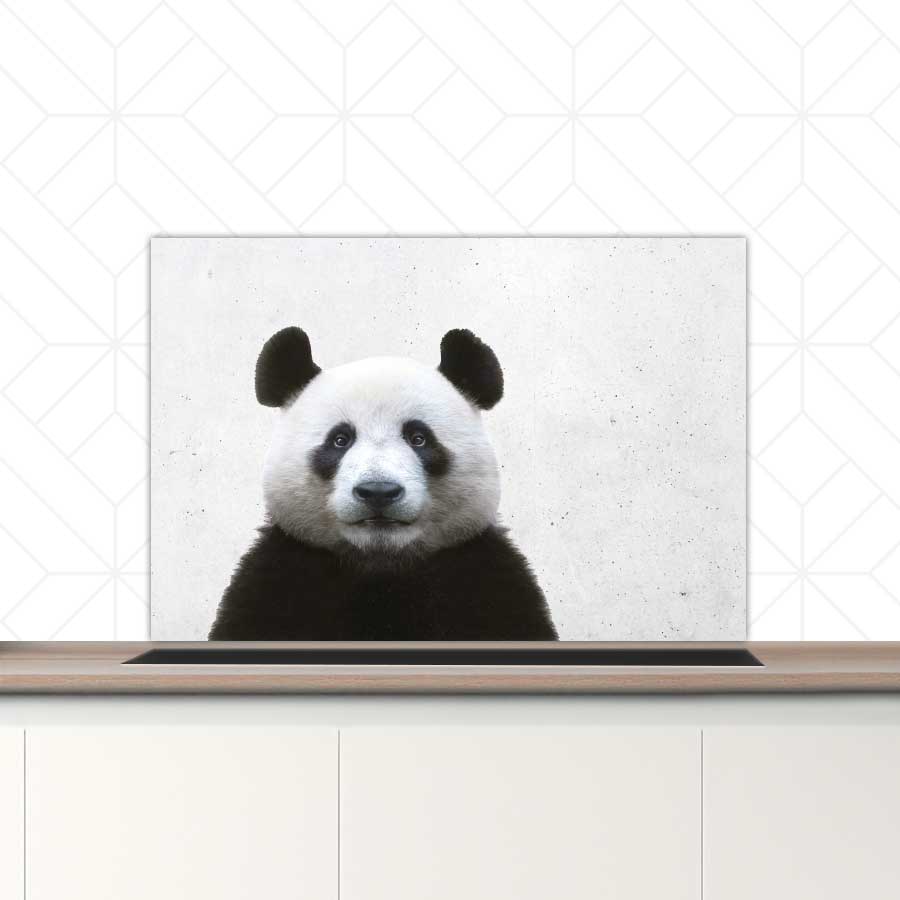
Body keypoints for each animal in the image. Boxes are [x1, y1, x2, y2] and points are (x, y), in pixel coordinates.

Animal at [208, 326, 557, 641]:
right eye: (340, 439)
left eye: (419, 438)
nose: (378, 492)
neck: (381, 567)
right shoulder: (279, 578)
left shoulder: (484, 578)